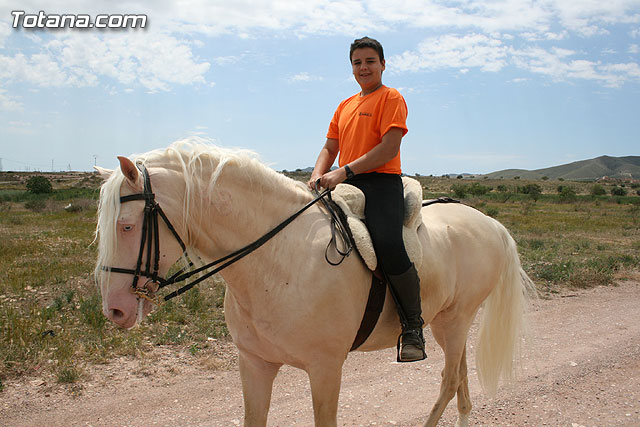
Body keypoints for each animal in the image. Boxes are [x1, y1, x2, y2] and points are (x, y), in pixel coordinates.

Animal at [94, 138, 533, 427]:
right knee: (459, 379)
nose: (115, 309)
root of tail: (490, 223)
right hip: (446, 324)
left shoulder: (325, 369)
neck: (278, 259)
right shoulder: (255, 365)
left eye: (127, 225)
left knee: (448, 380)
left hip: (455, 321)